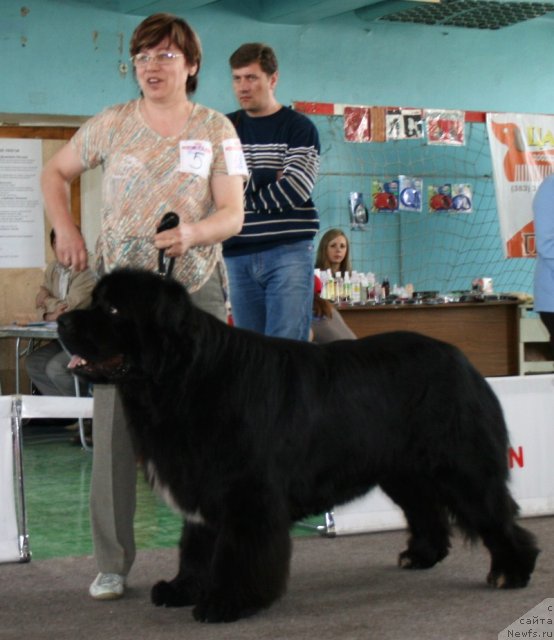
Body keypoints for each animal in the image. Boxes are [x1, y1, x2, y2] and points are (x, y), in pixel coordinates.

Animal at [58, 268, 536, 624]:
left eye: (113, 308)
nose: (62, 321)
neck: (183, 377)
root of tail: (462, 361)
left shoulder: (246, 492)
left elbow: (237, 550)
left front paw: (226, 602)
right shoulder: (204, 483)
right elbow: (195, 545)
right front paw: (181, 588)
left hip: (460, 465)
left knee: (493, 511)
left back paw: (512, 570)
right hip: (403, 470)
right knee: (426, 511)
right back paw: (421, 555)